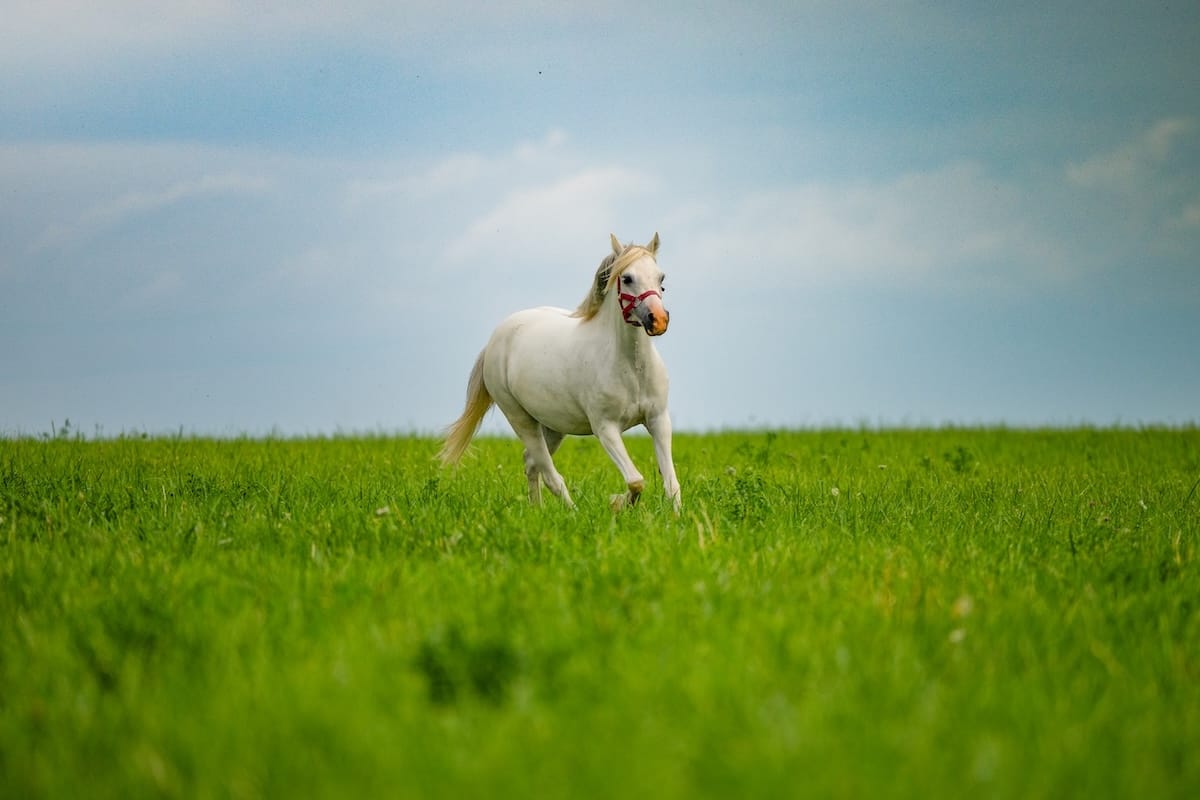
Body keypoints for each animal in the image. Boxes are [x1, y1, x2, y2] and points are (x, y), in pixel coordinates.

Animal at [439, 233, 682, 512]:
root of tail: (494, 341)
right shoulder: (605, 428)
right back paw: (571, 512)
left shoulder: (658, 420)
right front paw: (617, 503)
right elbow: (635, 481)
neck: (631, 369)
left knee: (531, 463)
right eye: (627, 278)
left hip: (553, 425)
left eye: (660, 278)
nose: (658, 319)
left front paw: (677, 518)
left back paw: (537, 510)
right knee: (549, 474)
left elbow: (671, 483)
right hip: (521, 420)